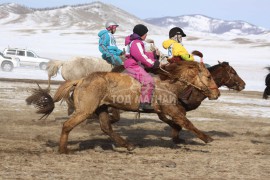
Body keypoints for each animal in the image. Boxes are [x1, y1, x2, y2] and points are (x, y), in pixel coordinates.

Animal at [26, 60, 219, 153]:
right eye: (209, 76)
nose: (217, 94)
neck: (169, 82)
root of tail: (81, 80)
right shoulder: (170, 109)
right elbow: (186, 122)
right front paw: (207, 138)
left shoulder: (166, 110)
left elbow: (178, 123)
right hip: (85, 111)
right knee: (67, 125)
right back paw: (63, 150)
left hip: (101, 109)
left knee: (106, 127)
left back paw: (127, 145)